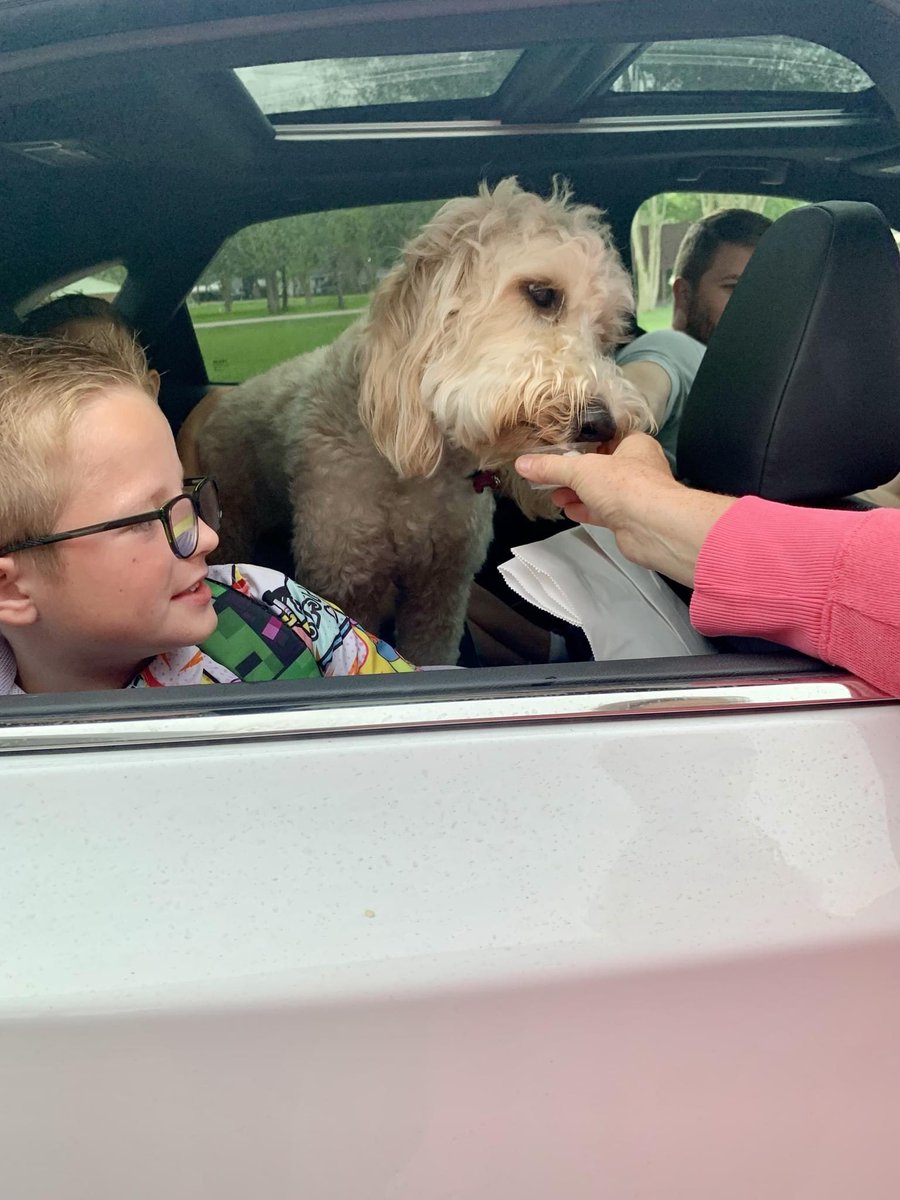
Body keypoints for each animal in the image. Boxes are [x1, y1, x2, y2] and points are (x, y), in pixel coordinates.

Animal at [196, 178, 652, 667]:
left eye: (606, 335)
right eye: (542, 293)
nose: (602, 425)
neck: (421, 472)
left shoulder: (443, 585)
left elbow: (433, 646)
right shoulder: (347, 579)